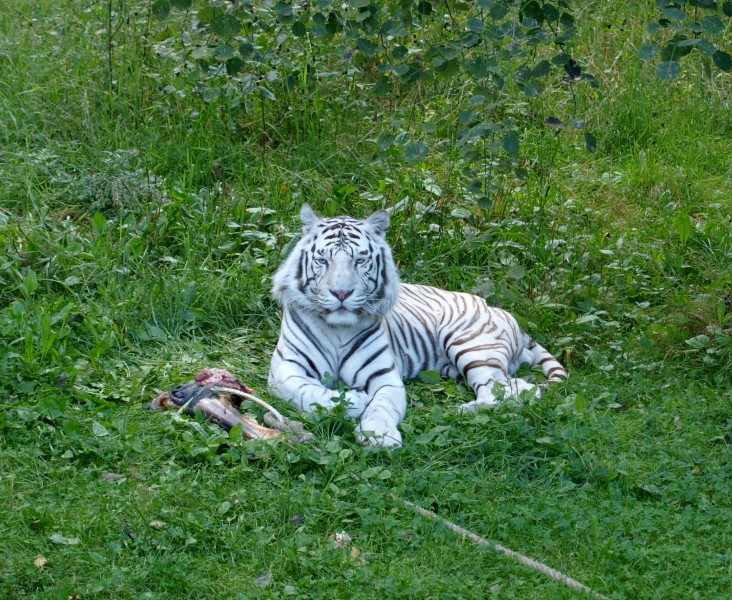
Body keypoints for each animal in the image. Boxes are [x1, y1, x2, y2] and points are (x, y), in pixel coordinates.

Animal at [268, 206, 568, 446]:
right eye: (323, 260)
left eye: (359, 260)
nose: (341, 293)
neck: (338, 329)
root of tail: (499, 309)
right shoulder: (284, 370)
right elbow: (308, 393)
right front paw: (355, 400)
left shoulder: (385, 378)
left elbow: (382, 407)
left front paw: (379, 436)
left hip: (471, 345)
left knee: (514, 389)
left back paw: (463, 411)